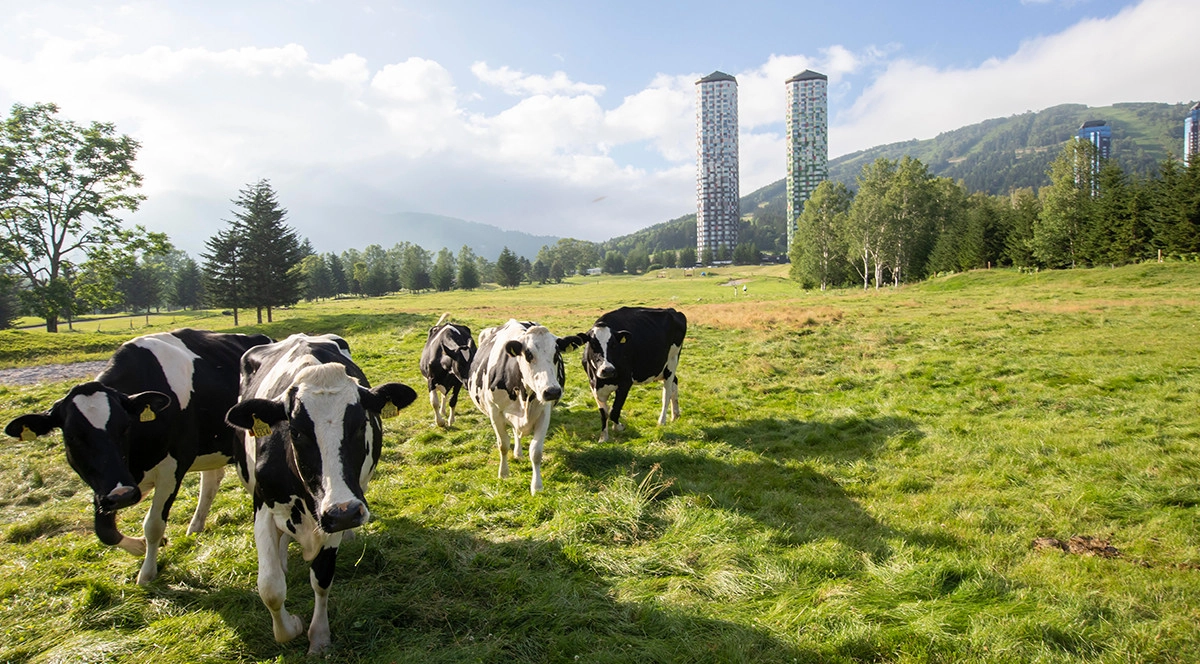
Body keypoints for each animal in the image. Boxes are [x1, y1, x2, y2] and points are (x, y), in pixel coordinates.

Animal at [3, 328, 271, 583]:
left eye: (124, 427)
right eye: (73, 437)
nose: (122, 495)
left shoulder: (171, 469)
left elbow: (153, 524)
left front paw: (147, 572)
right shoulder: (104, 484)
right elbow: (104, 530)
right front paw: (139, 546)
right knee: (211, 480)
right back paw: (195, 526)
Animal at [225, 331, 417, 653]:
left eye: (361, 424)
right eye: (296, 431)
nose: (347, 514)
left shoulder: (333, 514)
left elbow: (322, 577)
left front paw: (319, 636)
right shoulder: (264, 506)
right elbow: (270, 586)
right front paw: (291, 626)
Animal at [465, 319, 583, 494]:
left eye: (556, 355)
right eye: (529, 355)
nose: (552, 391)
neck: (524, 395)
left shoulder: (544, 413)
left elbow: (536, 452)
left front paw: (537, 486)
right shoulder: (495, 412)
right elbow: (503, 444)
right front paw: (503, 473)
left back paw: (519, 453)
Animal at [578, 307, 691, 441]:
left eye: (614, 345)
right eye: (593, 344)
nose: (608, 370)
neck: (602, 381)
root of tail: (672, 310)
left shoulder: (625, 383)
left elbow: (614, 412)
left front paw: (619, 427)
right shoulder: (593, 386)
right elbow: (603, 413)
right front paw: (603, 438)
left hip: (672, 361)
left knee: (667, 393)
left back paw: (662, 421)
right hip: (664, 368)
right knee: (675, 382)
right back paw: (675, 415)